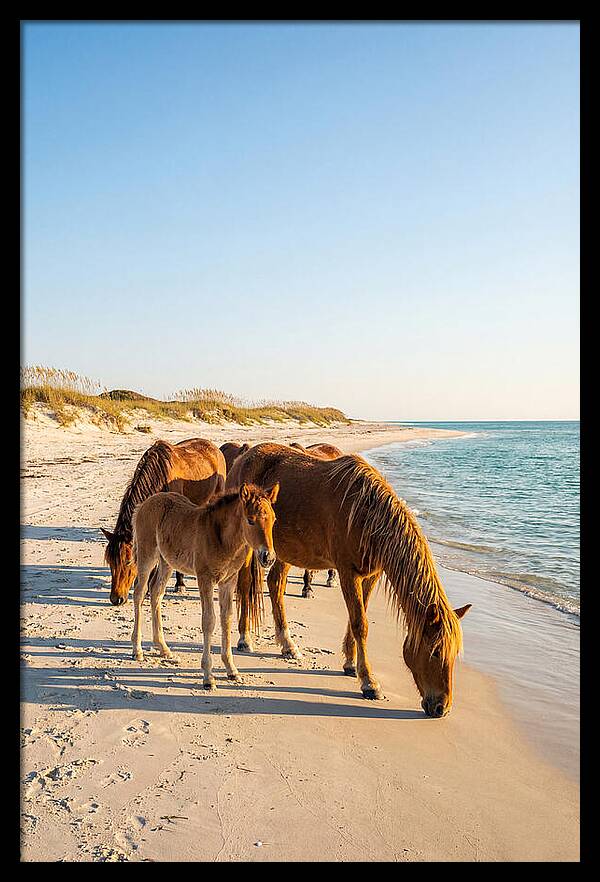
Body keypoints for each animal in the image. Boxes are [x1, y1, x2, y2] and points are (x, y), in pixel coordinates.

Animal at [101, 438, 226, 605]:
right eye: (110, 562)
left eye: (128, 561)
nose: (116, 599)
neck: (160, 478)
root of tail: (214, 447)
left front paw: (179, 584)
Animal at [131, 482, 278, 688]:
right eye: (250, 520)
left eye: (273, 519)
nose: (268, 558)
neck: (223, 539)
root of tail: (144, 503)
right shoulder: (205, 578)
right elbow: (209, 621)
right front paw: (208, 676)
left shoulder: (228, 581)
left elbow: (226, 619)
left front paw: (232, 670)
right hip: (147, 555)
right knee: (139, 592)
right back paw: (137, 650)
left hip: (166, 561)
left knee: (155, 593)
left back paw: (163, 648)